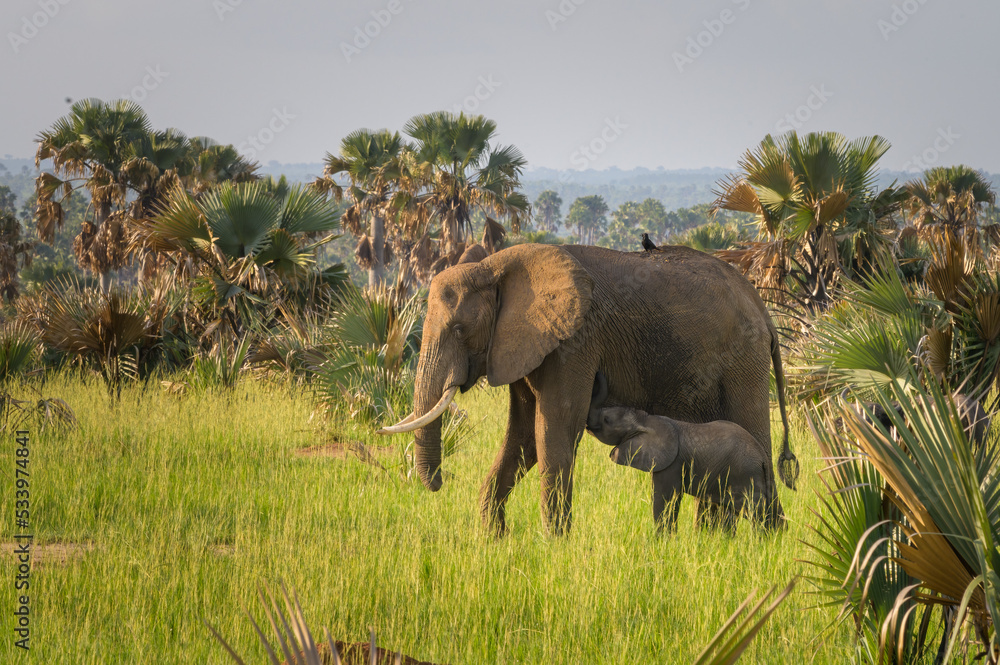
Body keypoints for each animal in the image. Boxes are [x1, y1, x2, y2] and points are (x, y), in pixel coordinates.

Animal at [379, 243, 798, 535]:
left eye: (458, 330)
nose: (439, 483)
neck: (496, 266)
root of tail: (762, 309)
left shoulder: (575, 341)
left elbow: (555, 430)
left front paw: (554, 545)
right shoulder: (525, 346)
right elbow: (523, 437)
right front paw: (492, 542)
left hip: (744, 358)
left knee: (753, 431)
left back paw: (769, 540)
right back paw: (712, 540)